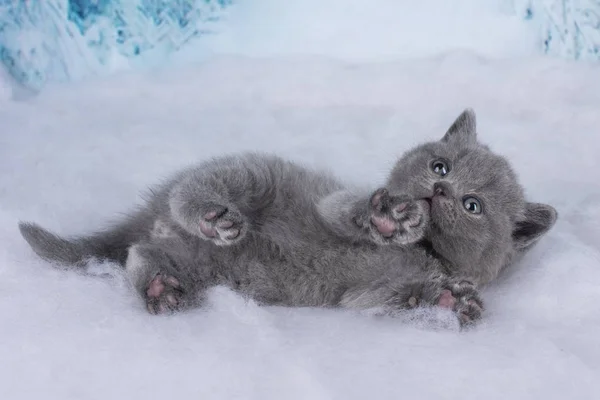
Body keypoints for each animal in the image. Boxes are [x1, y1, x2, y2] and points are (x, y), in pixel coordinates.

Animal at [18, 110, 556, 328]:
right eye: (440, 166)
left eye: (472, 206)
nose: (440, 190)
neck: (423, 249)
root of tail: (150, 215)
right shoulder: (335, 203)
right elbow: (346, 211)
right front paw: (386, 218)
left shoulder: (374, 295)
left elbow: (389, 298)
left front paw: (449, 301)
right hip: (252, 176)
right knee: (190, 194)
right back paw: (210, 216)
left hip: (200, 268)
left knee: (139, 253)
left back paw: (158, 287)